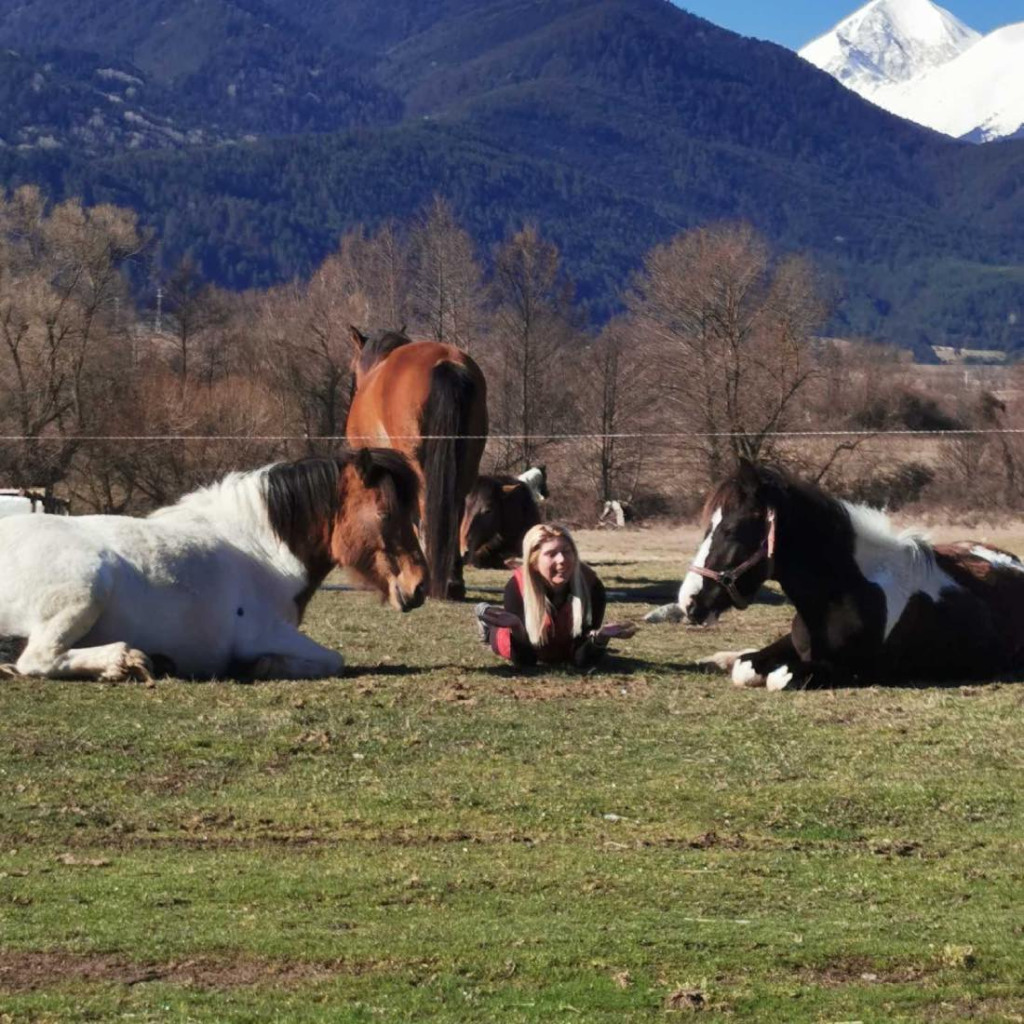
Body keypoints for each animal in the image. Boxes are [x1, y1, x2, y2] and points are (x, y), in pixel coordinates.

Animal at [0, 452, 428, 684]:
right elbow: (333, 660)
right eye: (386, 513)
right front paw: (265, 665)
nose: (420, 585)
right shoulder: (264, 633)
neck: (259, 549)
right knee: (38, 659)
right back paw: (124, 661)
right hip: (87, 591)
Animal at [667, 460, 1024, 692]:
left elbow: (779, 678)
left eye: (731, 530)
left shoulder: (854, 669)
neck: (843, 593)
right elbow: (745, 666)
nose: (689, 601)